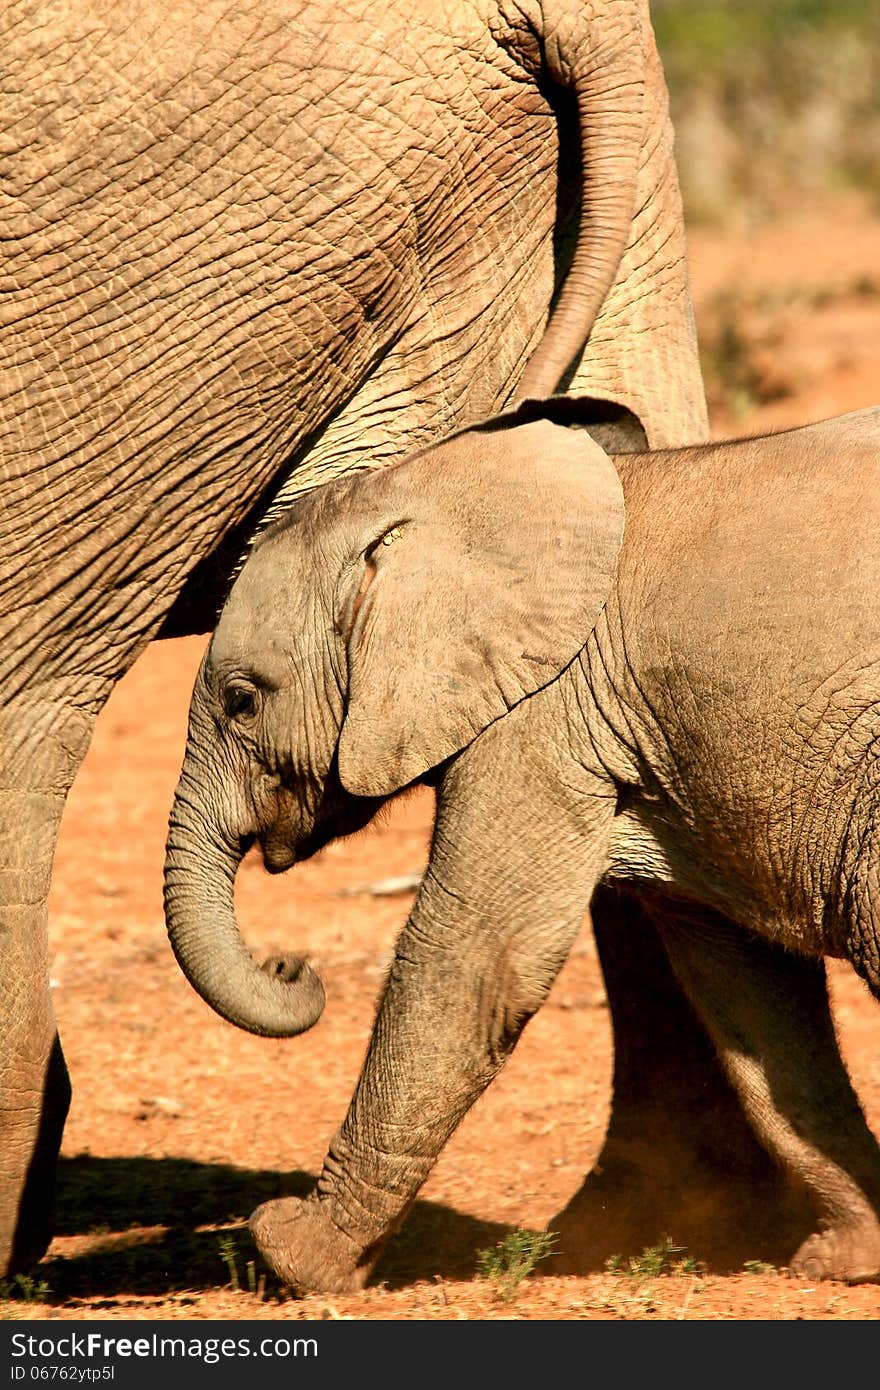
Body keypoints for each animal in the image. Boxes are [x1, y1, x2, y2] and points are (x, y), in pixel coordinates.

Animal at [163, 400, 878, 1289]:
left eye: (242, 700)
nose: (290, 965)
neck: (433, 492)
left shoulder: (544, 714)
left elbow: (473, 957)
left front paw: (291, 1254)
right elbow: (748, 993)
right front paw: (844, 1259)